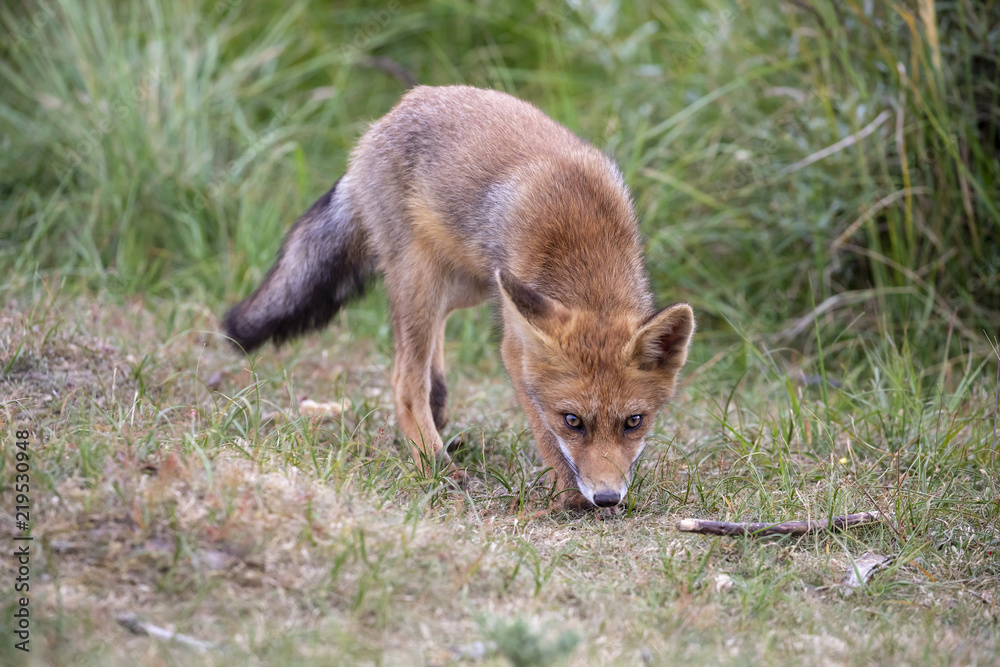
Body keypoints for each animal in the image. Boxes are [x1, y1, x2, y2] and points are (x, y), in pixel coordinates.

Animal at [223, 85, 694, 509]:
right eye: (572, 421)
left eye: (634, 422)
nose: (608, 497)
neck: (586, 246)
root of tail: (397, 108)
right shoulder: (514, 349)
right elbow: (545, 434)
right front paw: (569, 495)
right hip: (423, 279)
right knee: (404, 379)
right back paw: (434, 462)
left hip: (472, 284)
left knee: (431, 340)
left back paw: (439, 404)